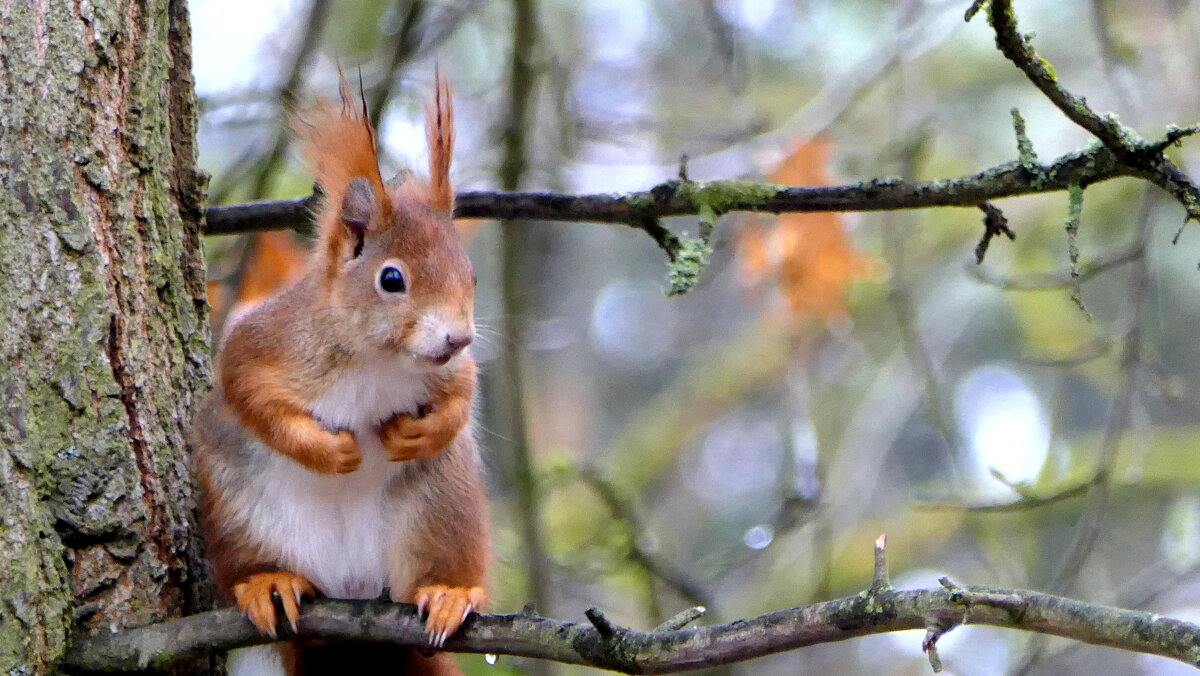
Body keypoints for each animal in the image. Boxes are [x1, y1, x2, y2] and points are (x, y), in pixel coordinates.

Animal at [192, 71, 487, 672]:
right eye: (391, 279)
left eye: (469, 274)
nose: (458, 337)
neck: (380, 359)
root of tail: (352, 591)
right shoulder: (267, 343)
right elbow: (249, 393)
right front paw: (330, 451)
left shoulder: (446, 372)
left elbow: (462, 393)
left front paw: (421, 432)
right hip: (240, 515)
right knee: (254, 566)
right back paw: (269, 583)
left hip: (443, 510)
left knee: (438, 567)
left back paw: (449, 592)